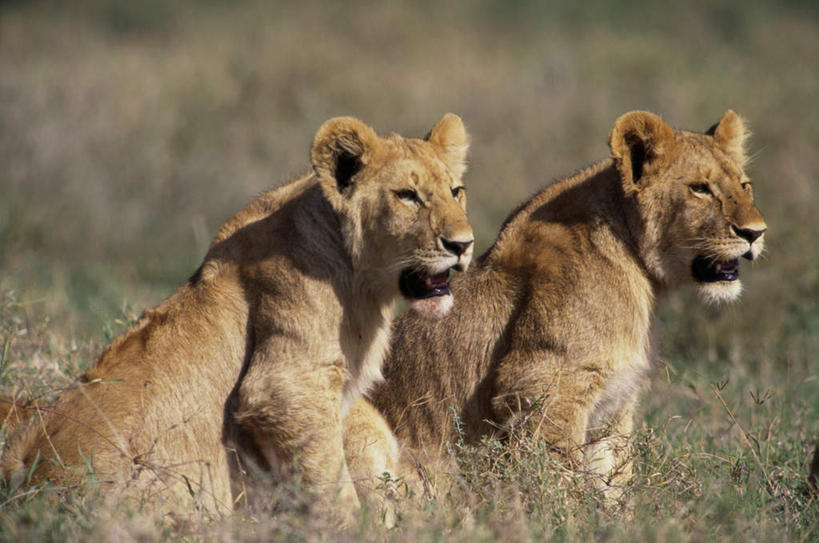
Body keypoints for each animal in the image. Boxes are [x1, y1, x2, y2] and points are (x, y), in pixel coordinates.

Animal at [0, 113, 474, 520]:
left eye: (456, 191)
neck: (358, 274)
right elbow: (331, 481)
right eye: (407, 196)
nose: (463, 244)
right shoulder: (285, 388)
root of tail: (24, 475)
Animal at [346, 109, 768, 502]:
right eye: (700, 189)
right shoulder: (545, 385)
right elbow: (558, 478)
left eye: (745, 185)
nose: (756, 233)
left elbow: (613, 478)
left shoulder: (614, 404)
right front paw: (566, 518)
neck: (639, 270)